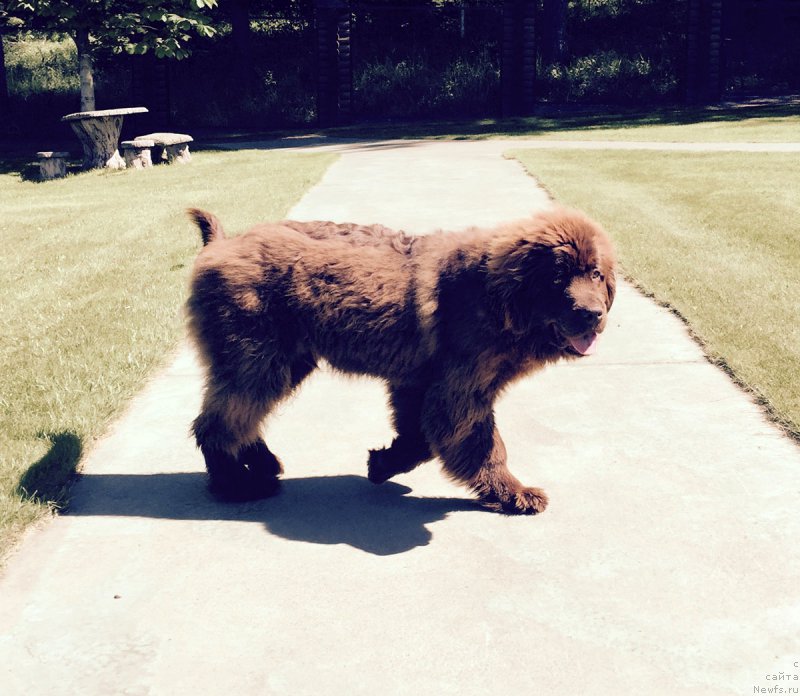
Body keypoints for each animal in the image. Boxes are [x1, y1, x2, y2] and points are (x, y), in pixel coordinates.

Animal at [184, 205, 616, 512]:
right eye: (557, 277)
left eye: (595, 274)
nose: (593, 315)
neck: (495, 298)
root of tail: (221, 243)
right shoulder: (459, 389)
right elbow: (481, 444)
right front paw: (515, 494)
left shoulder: (419, 383)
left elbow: (420, 438)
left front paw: (383, 464)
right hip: (255, 356)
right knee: (217, 423)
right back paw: (234, 485)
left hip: (284, 361)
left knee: (237, 418)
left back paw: (262, 466)